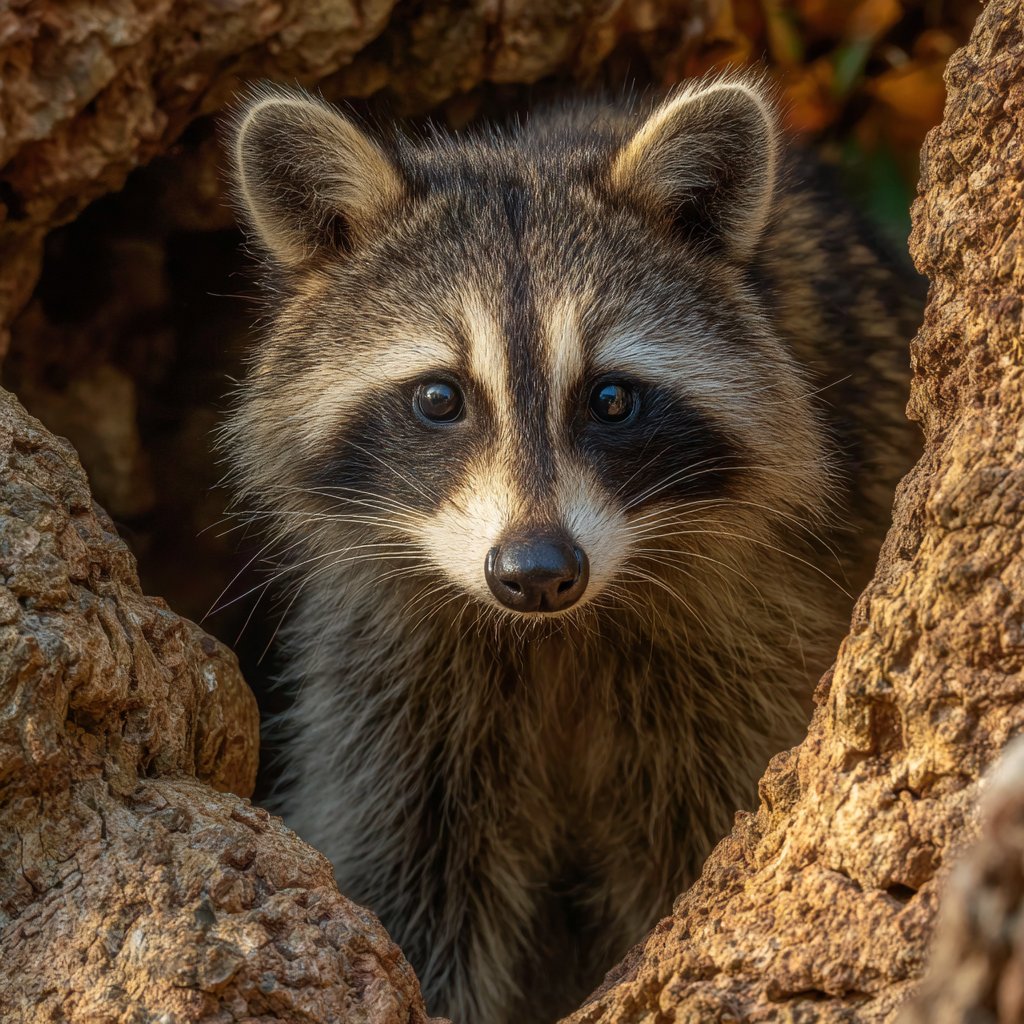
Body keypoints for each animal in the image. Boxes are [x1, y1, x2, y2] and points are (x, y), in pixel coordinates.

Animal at [223, 76, 920, 1023]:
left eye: (612, 399)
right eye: (440, 397)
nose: (537, 573)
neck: (556, 634)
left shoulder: (747, 634)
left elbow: (710, 838)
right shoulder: (394, 667)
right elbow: (404, 862)